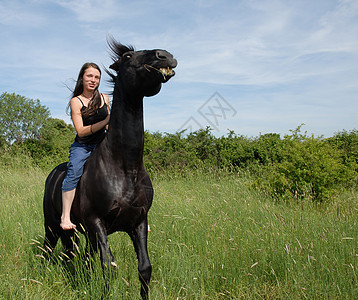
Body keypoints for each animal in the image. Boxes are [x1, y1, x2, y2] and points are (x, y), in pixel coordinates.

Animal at [43, 38, 178, 298]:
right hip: (53, 226)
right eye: (126, 57)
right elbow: (109, 266)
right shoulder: (97, 222)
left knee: (76, 254)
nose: (165, 55)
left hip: (78, 232)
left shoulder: (138, 222)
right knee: (48, 250)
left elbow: (144, 268)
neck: (125, 170)